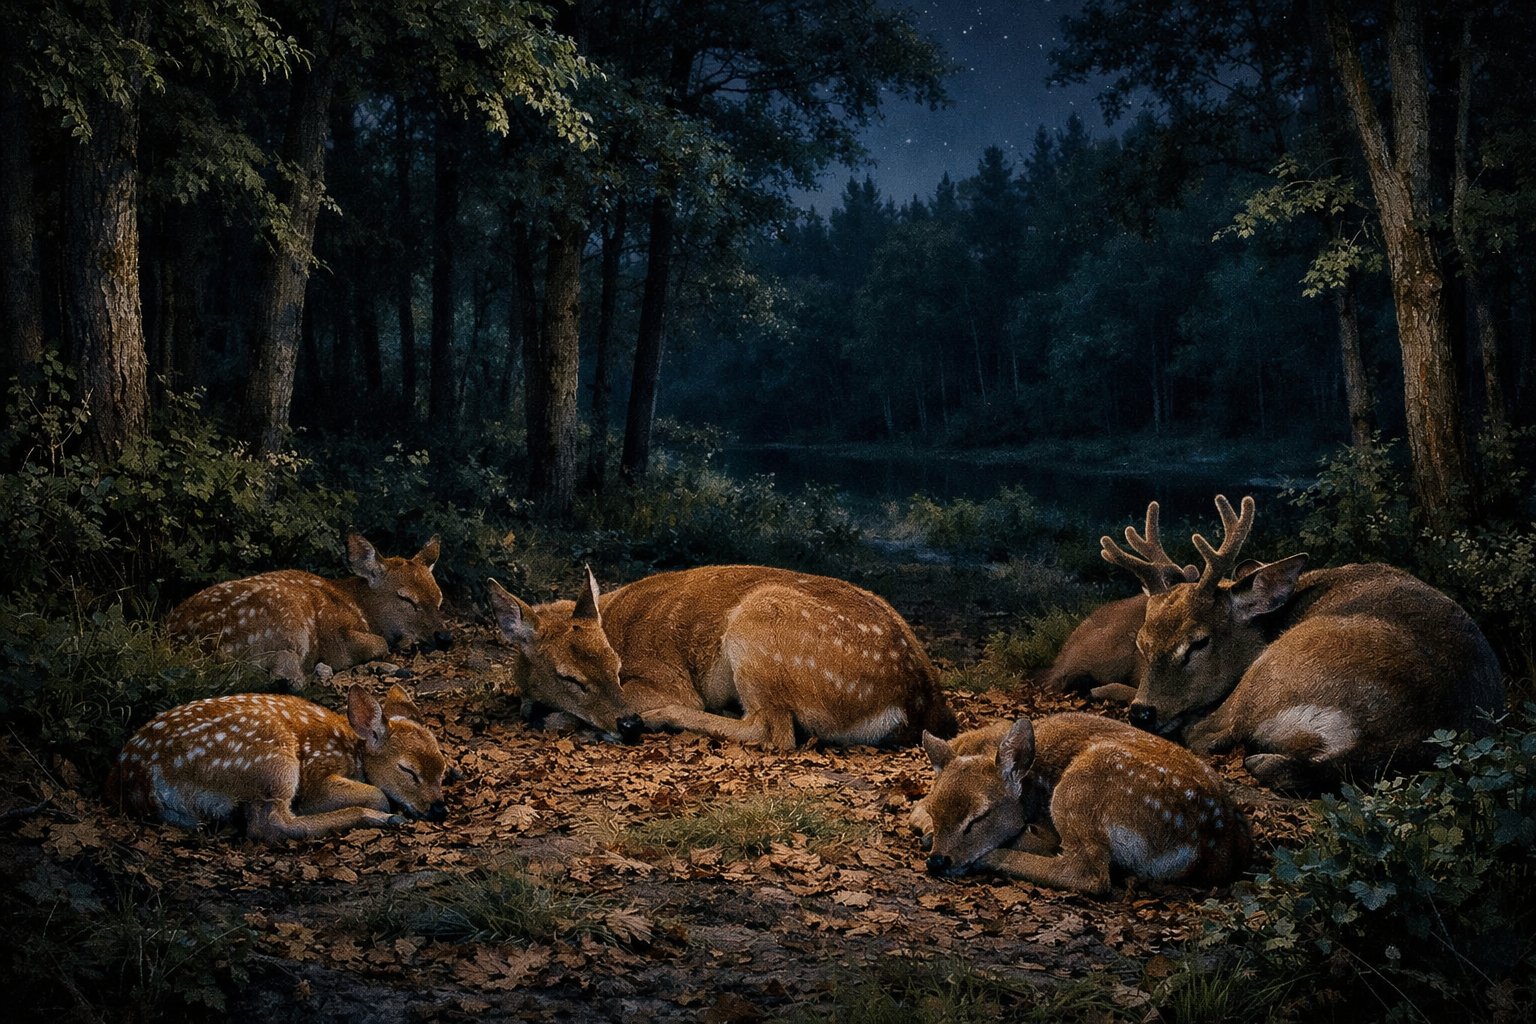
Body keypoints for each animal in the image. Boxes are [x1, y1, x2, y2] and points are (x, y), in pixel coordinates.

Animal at [104, 684, 448, 842]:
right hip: (273, 764)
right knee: (268, 825)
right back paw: (382, 818)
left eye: (443, 768)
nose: (438, 809)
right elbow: (377, 793)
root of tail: (138, 779)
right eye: (408, 770)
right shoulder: (316, 774)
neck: (352, 748)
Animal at [166, 534, 452, 688]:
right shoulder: (337, 637)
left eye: (439, 599)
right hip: (284, 619)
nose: (445, 637)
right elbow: (379, 644)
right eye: (406, 598)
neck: (362, 609)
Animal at [487, 564, 958, 749]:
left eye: (617, 668)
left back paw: (661, 717)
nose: (628, 724)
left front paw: (553, 716)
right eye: (569, 677)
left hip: (759, 624)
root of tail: (919, 701)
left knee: (772, 730)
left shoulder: (667, 678)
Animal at [917, 714, 1250, 896]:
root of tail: (1214, 847)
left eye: (980, 816)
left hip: (1081, 786)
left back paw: (994, 857)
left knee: (1090, 873)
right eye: (935, 811)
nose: (938, 861)